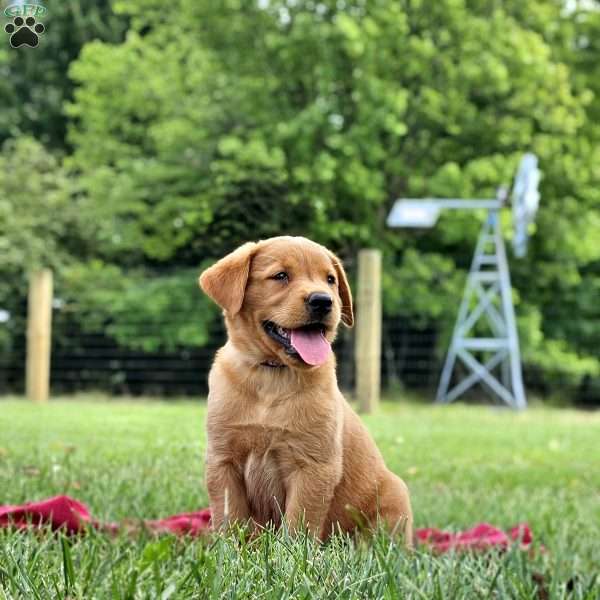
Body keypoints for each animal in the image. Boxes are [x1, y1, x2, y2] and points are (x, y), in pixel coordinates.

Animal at [198, 236, 412, 544]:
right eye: (280, 276)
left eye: (330, 279)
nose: (323, 300)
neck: (272, 376)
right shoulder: (223, 460)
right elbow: (229, 516)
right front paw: (230, 549)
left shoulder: (313, 466)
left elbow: (299, 522)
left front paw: (292, 552)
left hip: (394, 496)